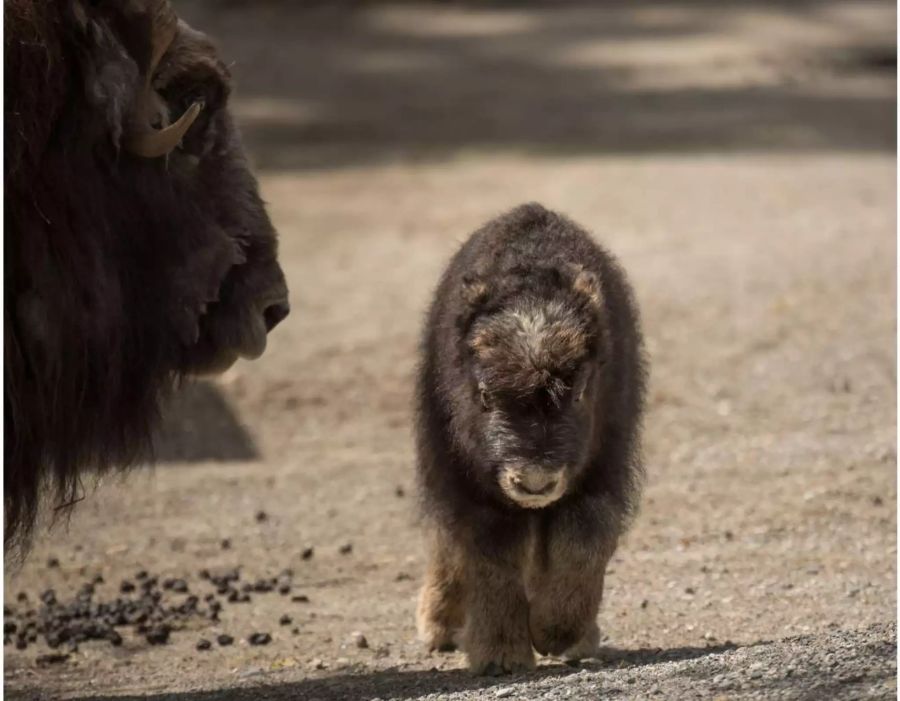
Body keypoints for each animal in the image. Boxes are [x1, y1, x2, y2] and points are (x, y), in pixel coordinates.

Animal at [414, 202, 648, 672]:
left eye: (579, 390)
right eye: (485, 395)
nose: (535, 482)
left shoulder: (602, 468)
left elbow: (584, 537)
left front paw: (556, 631)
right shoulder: (475, 488)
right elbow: (492, 557)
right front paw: (502, 656)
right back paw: (439, 624)